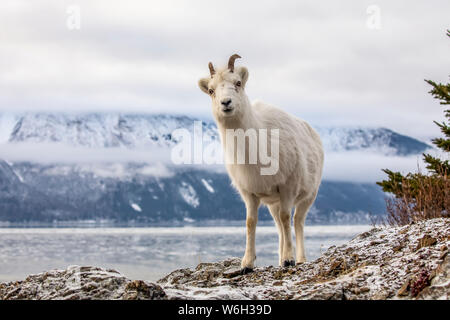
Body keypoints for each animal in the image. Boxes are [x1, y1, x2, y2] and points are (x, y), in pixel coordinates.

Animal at [198, 53, 324, 272]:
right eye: (211, 90)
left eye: (238, 83)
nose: (226, 103)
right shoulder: (249, 193)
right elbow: (251, 222)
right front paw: (247, 264)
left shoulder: (288, 188)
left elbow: (287, 218)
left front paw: (289, 260)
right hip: (273, 203)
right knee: (280, 227)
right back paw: (280, 259)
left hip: (309, 195)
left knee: (296, 221)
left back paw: (299, 259)